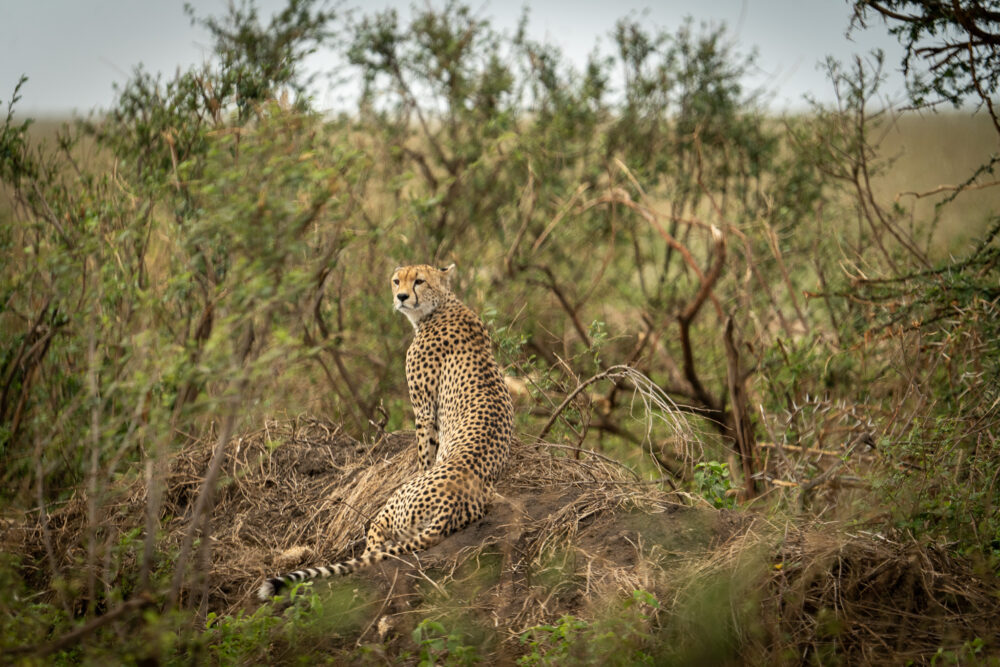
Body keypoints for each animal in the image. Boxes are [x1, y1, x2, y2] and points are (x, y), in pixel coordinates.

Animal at [256, 262, 516, 600]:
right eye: (396, 281)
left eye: (419, 281)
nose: (401, 297)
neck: (441, 306)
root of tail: (455, 502)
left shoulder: (424, 410)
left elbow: (424, 451)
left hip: (393, 507)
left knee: (375, 541)